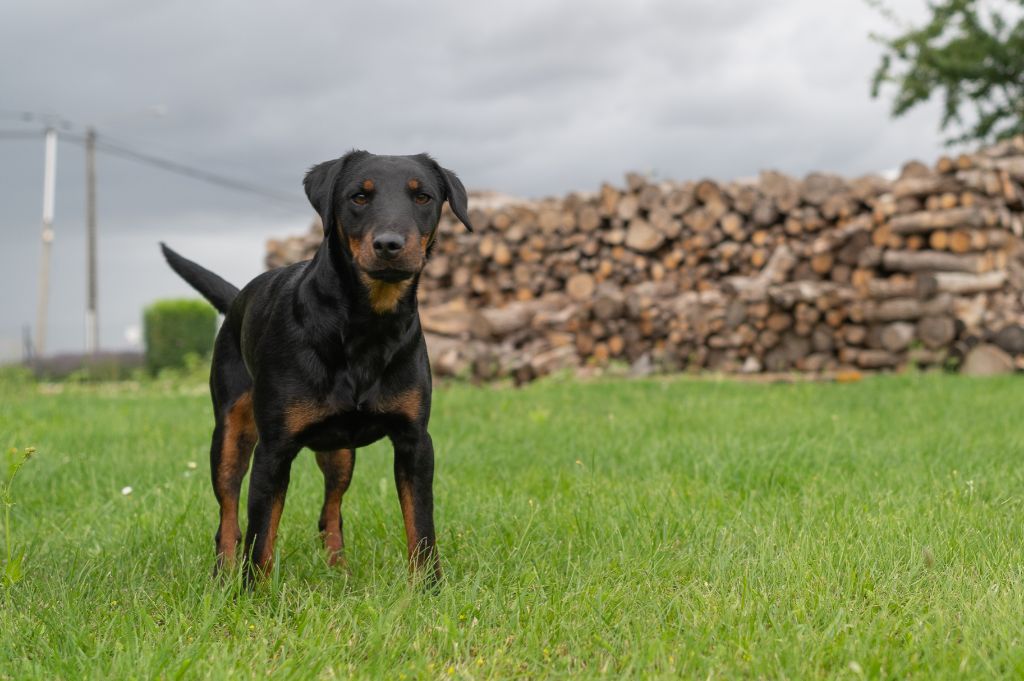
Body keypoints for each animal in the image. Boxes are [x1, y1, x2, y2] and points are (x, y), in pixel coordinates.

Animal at [160, 151, 471, 581]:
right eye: (359, 196)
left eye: (423, 196)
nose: (389, 243)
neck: (364, 326)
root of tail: (239, 299)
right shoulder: (273, 449)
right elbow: (260, 536)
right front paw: (252, 592)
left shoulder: (415, 442)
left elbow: (421, 529)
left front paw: (429, 589)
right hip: (229, 431)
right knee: (228, 513)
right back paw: (223, 575)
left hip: (340, 452)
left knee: (331, 511)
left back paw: (339, 571)